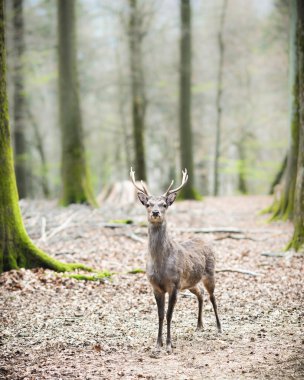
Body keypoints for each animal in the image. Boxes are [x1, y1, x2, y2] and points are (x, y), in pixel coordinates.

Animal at [130, 168, 221, 354]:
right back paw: (199, 326)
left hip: (210, 273)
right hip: (190, 282)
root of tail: (206, 240)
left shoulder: (174, 283)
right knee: (201, 294)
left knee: (213, 297)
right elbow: (160, 314)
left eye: (164, 204)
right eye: (148, 204)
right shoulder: (156, 286)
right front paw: (157, 344)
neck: (160, 265)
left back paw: (218, 327)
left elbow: (169, 314)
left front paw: (169, 344)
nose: (155, 213)